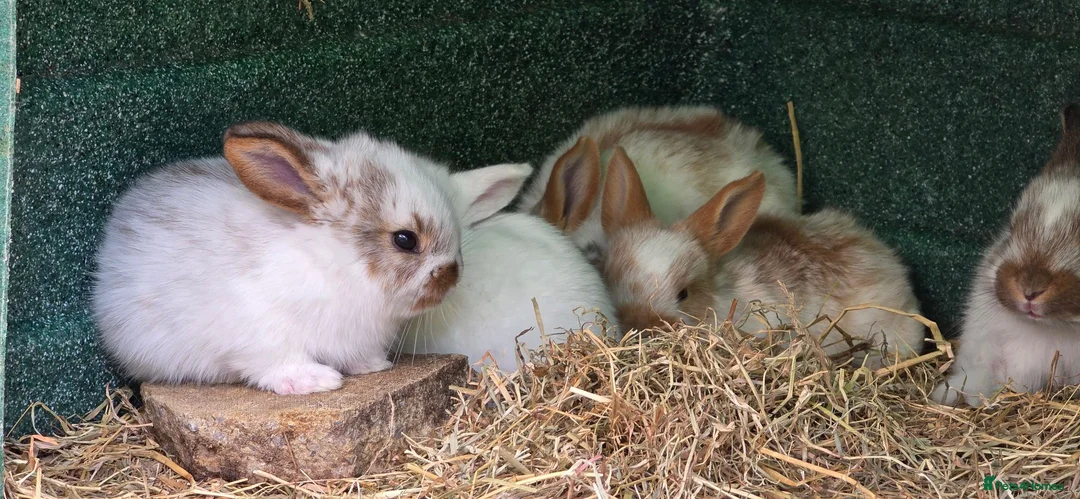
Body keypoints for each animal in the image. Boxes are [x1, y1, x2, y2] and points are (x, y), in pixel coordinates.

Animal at [91, 121, 525, 395]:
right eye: (405, 240)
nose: (452, 276)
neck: (336, 261)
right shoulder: (262, 333)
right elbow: (277, 364)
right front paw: (319, 381)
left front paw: (374, 366)